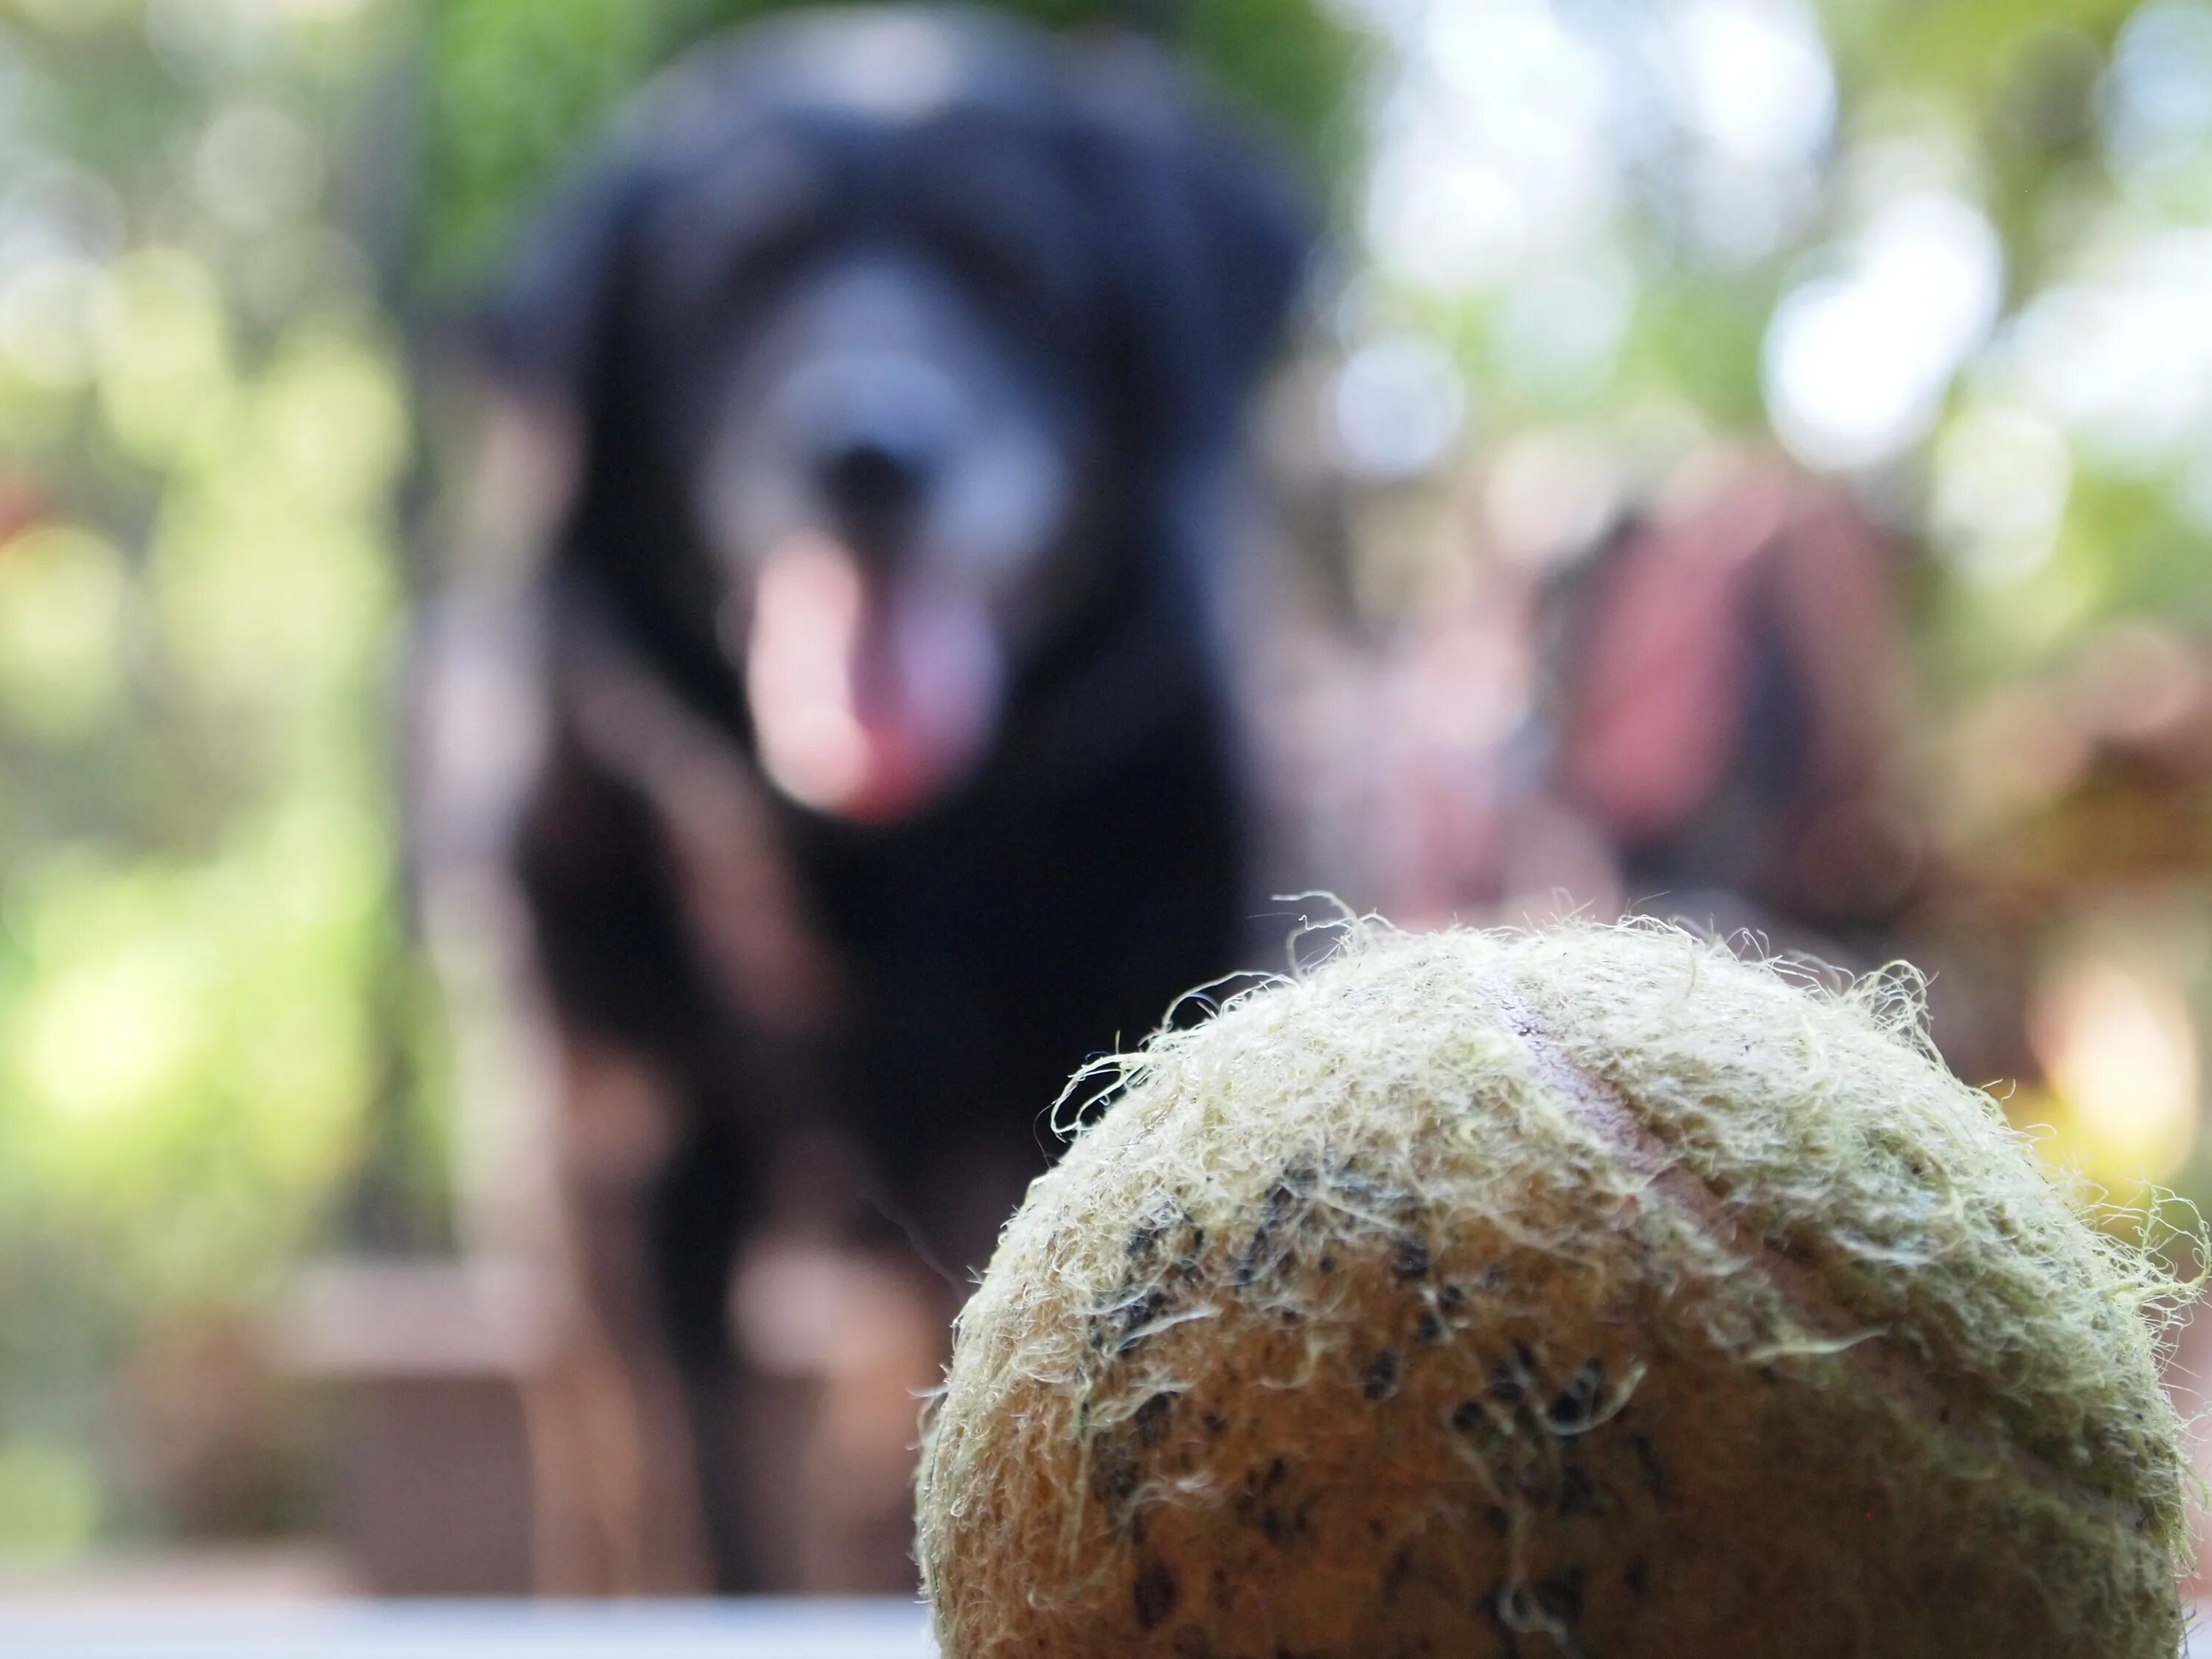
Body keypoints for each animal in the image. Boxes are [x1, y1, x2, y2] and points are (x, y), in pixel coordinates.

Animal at [422, 6, 1301, 1601]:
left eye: (1016, 264)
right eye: (727, 277)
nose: (872, 452)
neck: (871, 864)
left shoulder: (1020, 1111)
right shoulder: (638, 1146)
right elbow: (682, 1485)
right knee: (585, 1426)